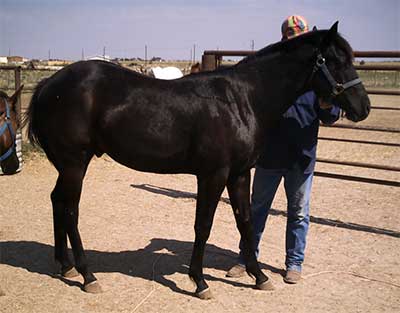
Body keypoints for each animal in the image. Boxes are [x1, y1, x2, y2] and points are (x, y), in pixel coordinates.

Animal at [24, 23, 368, 298]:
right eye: (335, 60)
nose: (363, 107)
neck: (241, 100)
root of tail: (48, 85)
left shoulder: (239, 174)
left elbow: (246, 222)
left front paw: (259, 277)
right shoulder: (212, 175)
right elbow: (203, 225)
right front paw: (200, 282)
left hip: (68, 166)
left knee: (57, 201)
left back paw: (65, 266)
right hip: (75, 164)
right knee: (70, 210)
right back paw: (87, 275)